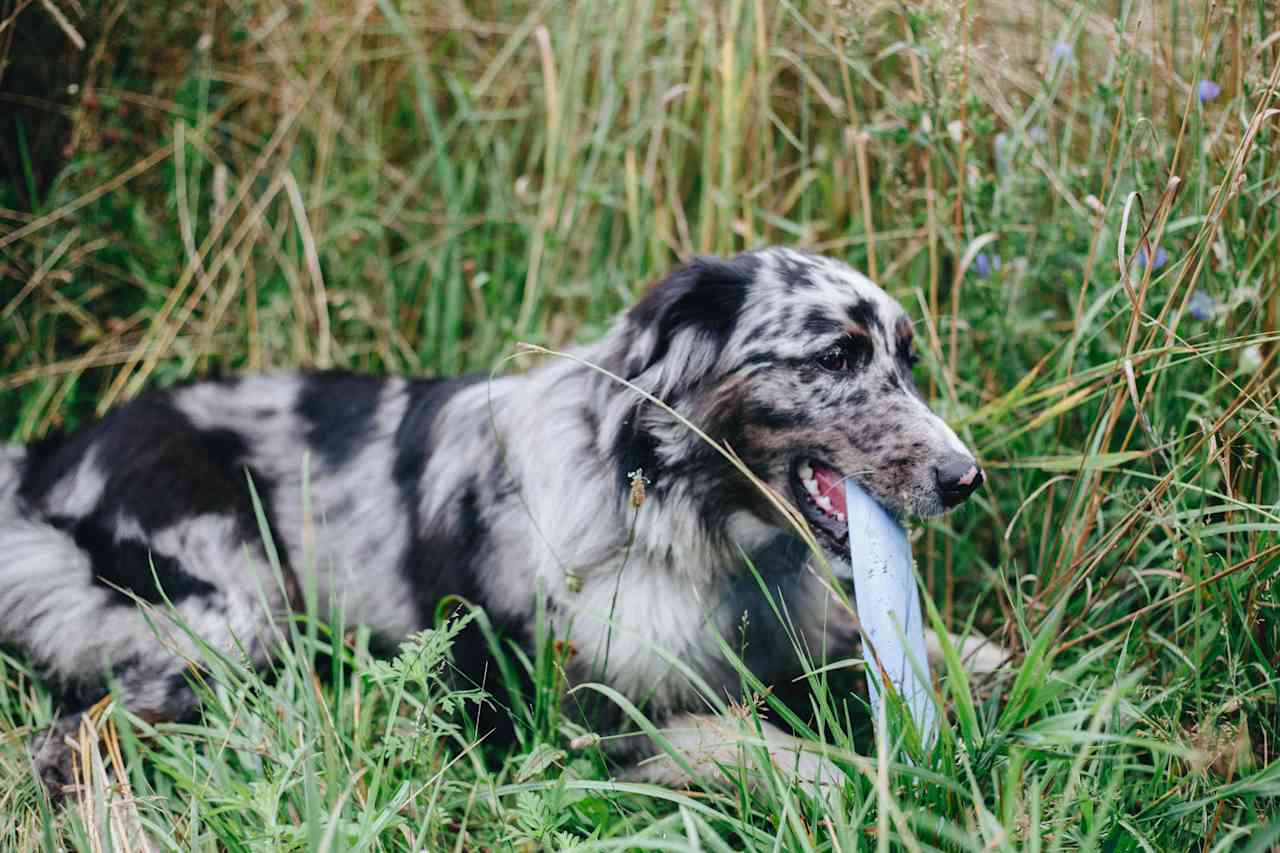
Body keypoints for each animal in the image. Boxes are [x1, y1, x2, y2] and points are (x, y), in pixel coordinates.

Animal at [0, 245, 983, 788]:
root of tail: (48, 454)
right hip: (231, 615)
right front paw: (866, 784)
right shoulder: (578, 715)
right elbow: (762, 748)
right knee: (64, 740)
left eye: (906, 359)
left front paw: (972, 671)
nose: (965, 477)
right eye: (836, 355)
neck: (679, 522)